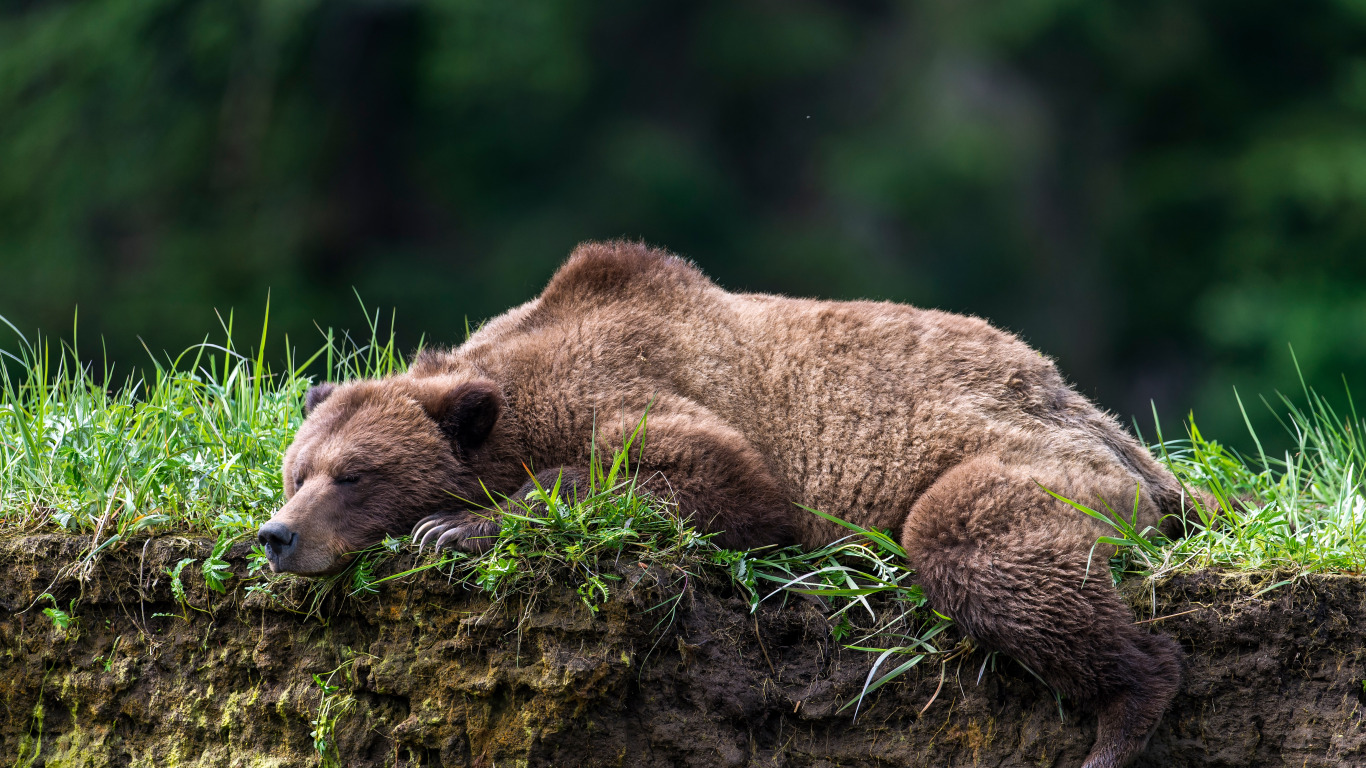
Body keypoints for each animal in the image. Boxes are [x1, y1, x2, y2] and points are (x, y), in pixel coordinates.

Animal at [260, 240, 1191, 765]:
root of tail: (1087, 408)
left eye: (353, 475)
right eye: (296, 472)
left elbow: (710, 477)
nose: (277, 536)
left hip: (1026, 455)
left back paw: (1122, 717)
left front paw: (451, 523)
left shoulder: (656, 391)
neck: (519, 398)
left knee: (975, 544)